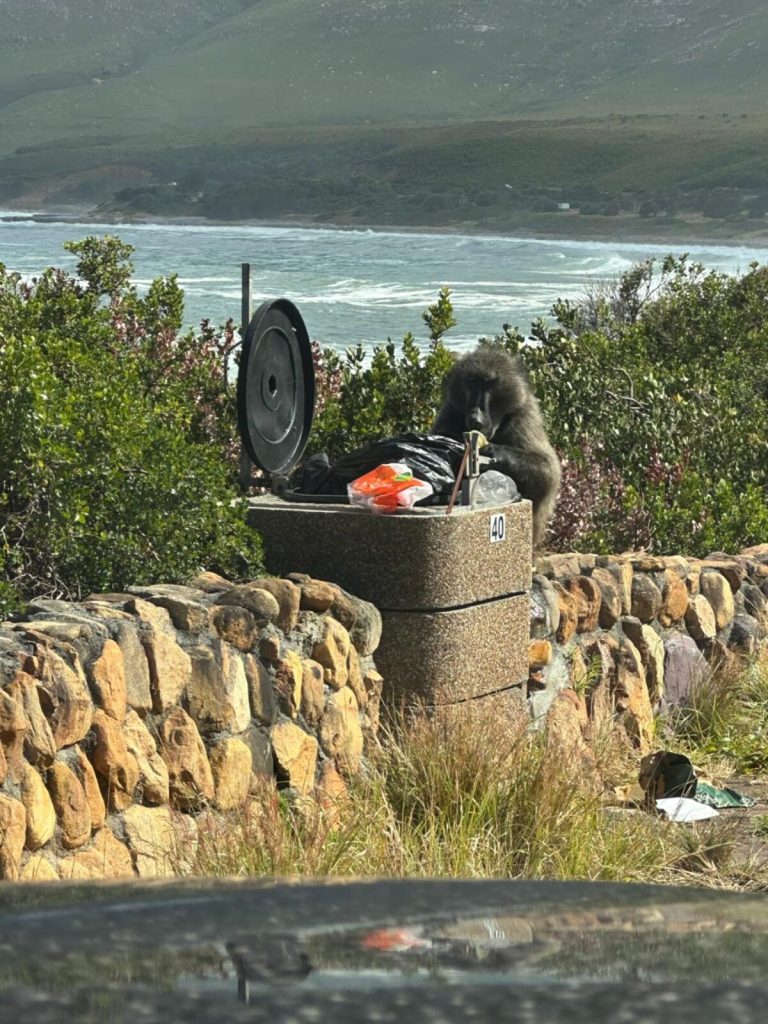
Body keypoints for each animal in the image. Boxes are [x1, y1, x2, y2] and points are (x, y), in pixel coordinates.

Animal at [433, 346, 561, 548]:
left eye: (487, 384)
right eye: (471, 382)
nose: (475, 417)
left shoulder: (523, 416)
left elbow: (548, 472)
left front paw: (492, 452)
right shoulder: (450, 412)